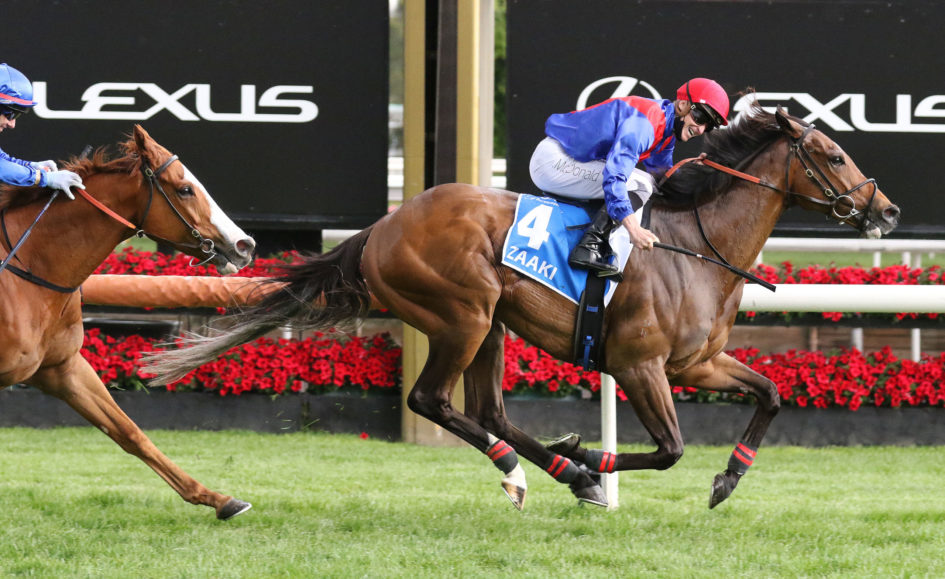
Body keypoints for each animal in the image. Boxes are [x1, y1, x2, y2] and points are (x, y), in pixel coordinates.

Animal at [0, 125, 256, 520]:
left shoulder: (62, 367)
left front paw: (220, 500)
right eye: (185, 188)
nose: (245, 245)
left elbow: (129, 432)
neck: (30, 267)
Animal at [144, 106, 900, 511]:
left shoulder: (699, 363)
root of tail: (382, 226)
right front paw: (592, 456)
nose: (887, 210)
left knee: (487, 409)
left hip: (491, 324)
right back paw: (540, 470)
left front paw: (727, 478)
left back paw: (565, 473)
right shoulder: (640, 365)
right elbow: (669, 449)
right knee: (433, 401)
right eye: (833, 153)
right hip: (464, 312)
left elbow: (769, 393)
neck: (693, 246)